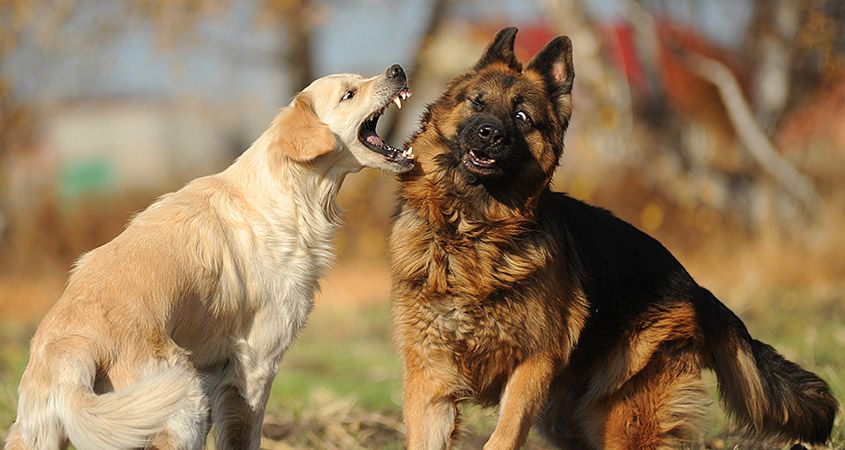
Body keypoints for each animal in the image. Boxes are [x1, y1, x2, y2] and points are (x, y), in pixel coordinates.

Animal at [5, 64, 416, 450]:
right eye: (349, 93)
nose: (397, 70)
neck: (288, 194)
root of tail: (70, 350)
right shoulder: (256, 365)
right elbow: (244, 435)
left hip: (38, 432)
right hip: (183, 404)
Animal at [390, 29, 836, 450]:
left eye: (521, 116)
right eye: (477, 103)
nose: (489, 134)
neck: (470, 234)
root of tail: (696, 287)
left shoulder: (532, 365)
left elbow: (503, 436)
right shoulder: (431, 381)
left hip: (623, 419)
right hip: (568, 418)